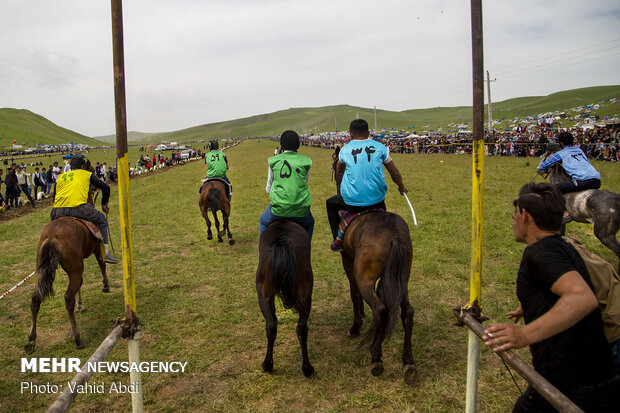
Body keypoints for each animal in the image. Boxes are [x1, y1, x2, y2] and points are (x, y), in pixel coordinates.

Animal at [256, 220, 314, 374]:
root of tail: (282, 241)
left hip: (262, 293)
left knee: (272, 326)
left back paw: (267, 365)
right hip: (305, 294)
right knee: (301, 327)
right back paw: (306, 368)